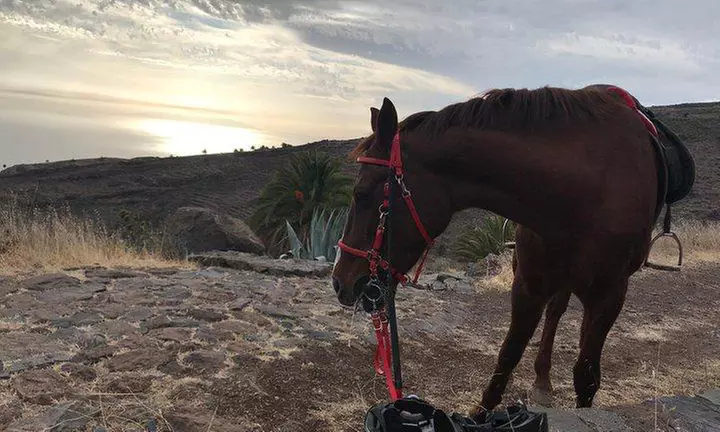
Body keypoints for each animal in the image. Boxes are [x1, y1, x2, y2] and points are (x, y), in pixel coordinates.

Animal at [330, 84, 682, 417]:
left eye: (361, 194)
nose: (339, 281)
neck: (585, 188)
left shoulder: (610, 297)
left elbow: (586, 375)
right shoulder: (528, 284)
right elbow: (508, 354)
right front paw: (481, 411)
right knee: (554, 312)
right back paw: (542, 381)